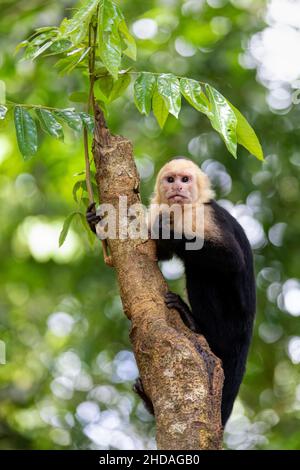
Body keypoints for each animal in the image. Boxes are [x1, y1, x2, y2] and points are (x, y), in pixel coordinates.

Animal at [86, 158, 255, 426]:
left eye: (185, 179)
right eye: (171, 179)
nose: (177, 187)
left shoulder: (204, 215)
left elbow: (231, 260)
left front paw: (166, 233)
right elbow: (155, 252)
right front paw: (96, 222)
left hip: (232, 321)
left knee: (202, 271)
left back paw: (194, 323)